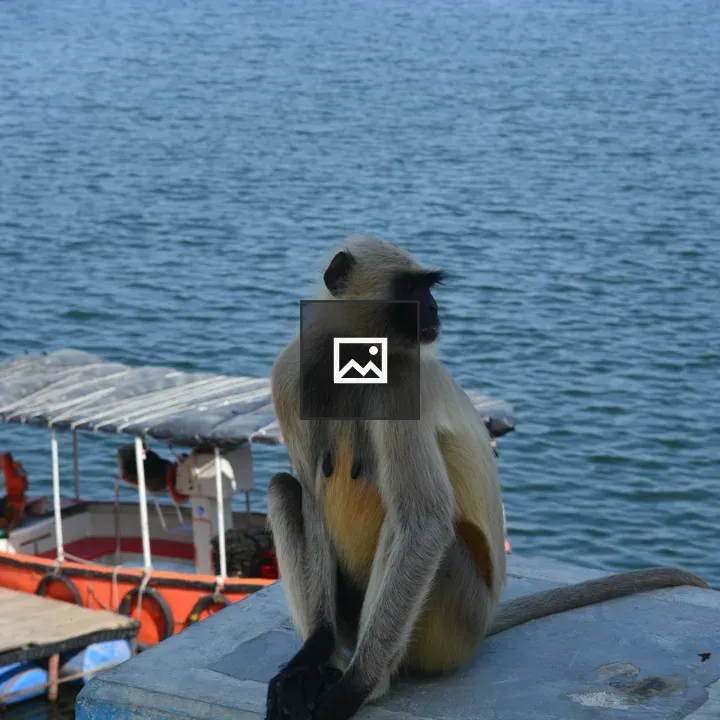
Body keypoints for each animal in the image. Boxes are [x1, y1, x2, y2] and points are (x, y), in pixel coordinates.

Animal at [265, 236, 709, 720]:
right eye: (411, 289)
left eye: (428, 287)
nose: (434, 308)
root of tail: (485, 620)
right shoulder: (291, 375)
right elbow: (311, 495)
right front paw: (310, 654)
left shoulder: (401, 378)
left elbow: (424, 521)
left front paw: (349, 691)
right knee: (285, 488)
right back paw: (323, 663)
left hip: (455, 616)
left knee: (414, 524)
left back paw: (371, 682)